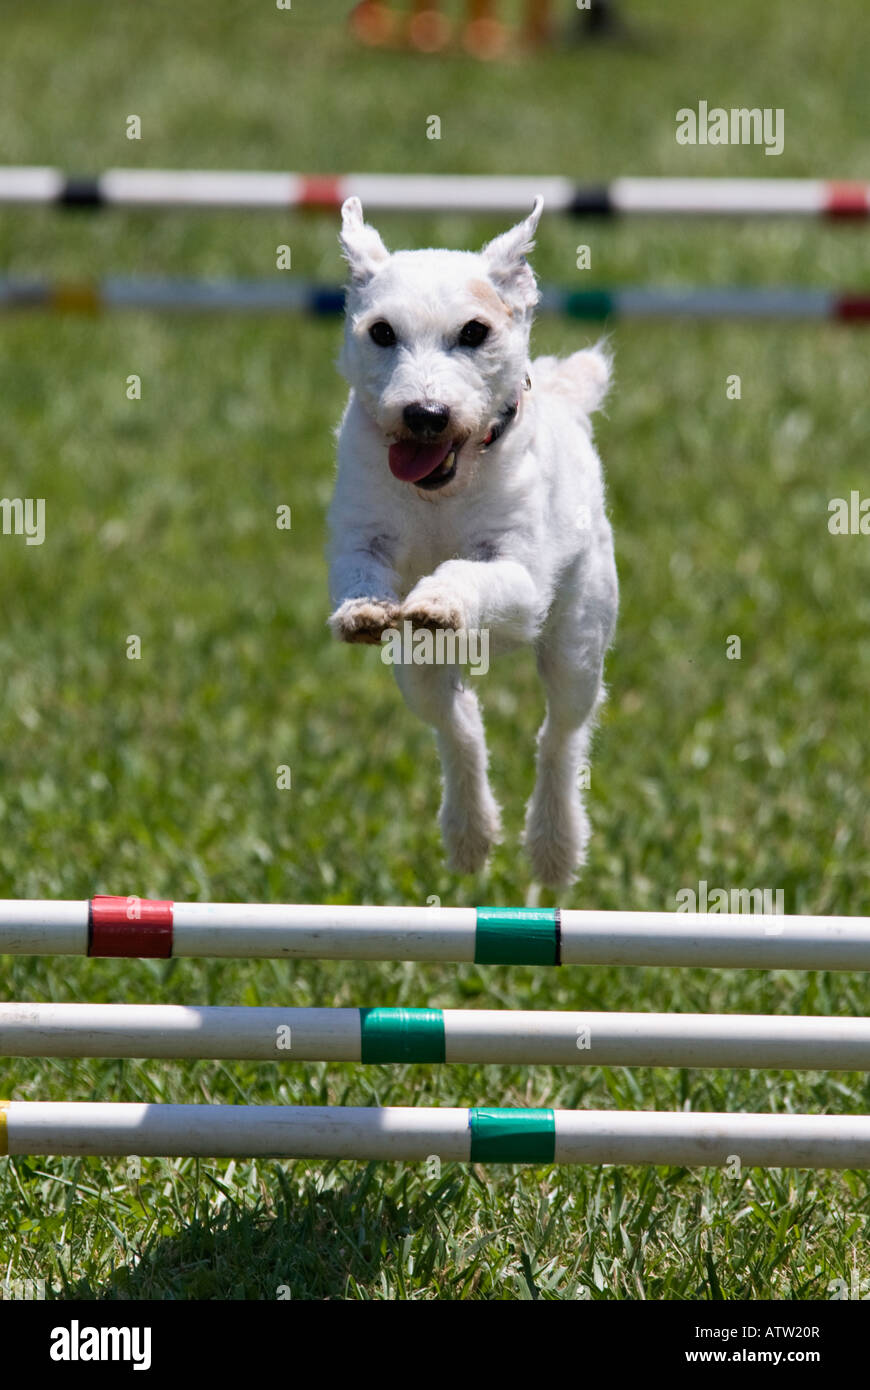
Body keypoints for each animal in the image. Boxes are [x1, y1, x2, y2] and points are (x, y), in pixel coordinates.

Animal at [325, 197, 617, 884]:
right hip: (420, 670)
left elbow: (466, 573)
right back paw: (471, 833)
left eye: (475, 332)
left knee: (560, 737)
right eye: (382, 332)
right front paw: (363, 611)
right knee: (460, 726)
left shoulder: (518, 574)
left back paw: (553, 846)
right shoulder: (361, 538)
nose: (425, 414)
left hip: (577, 642)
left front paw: (439, 600)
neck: (444, 494)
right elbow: (360, 574)